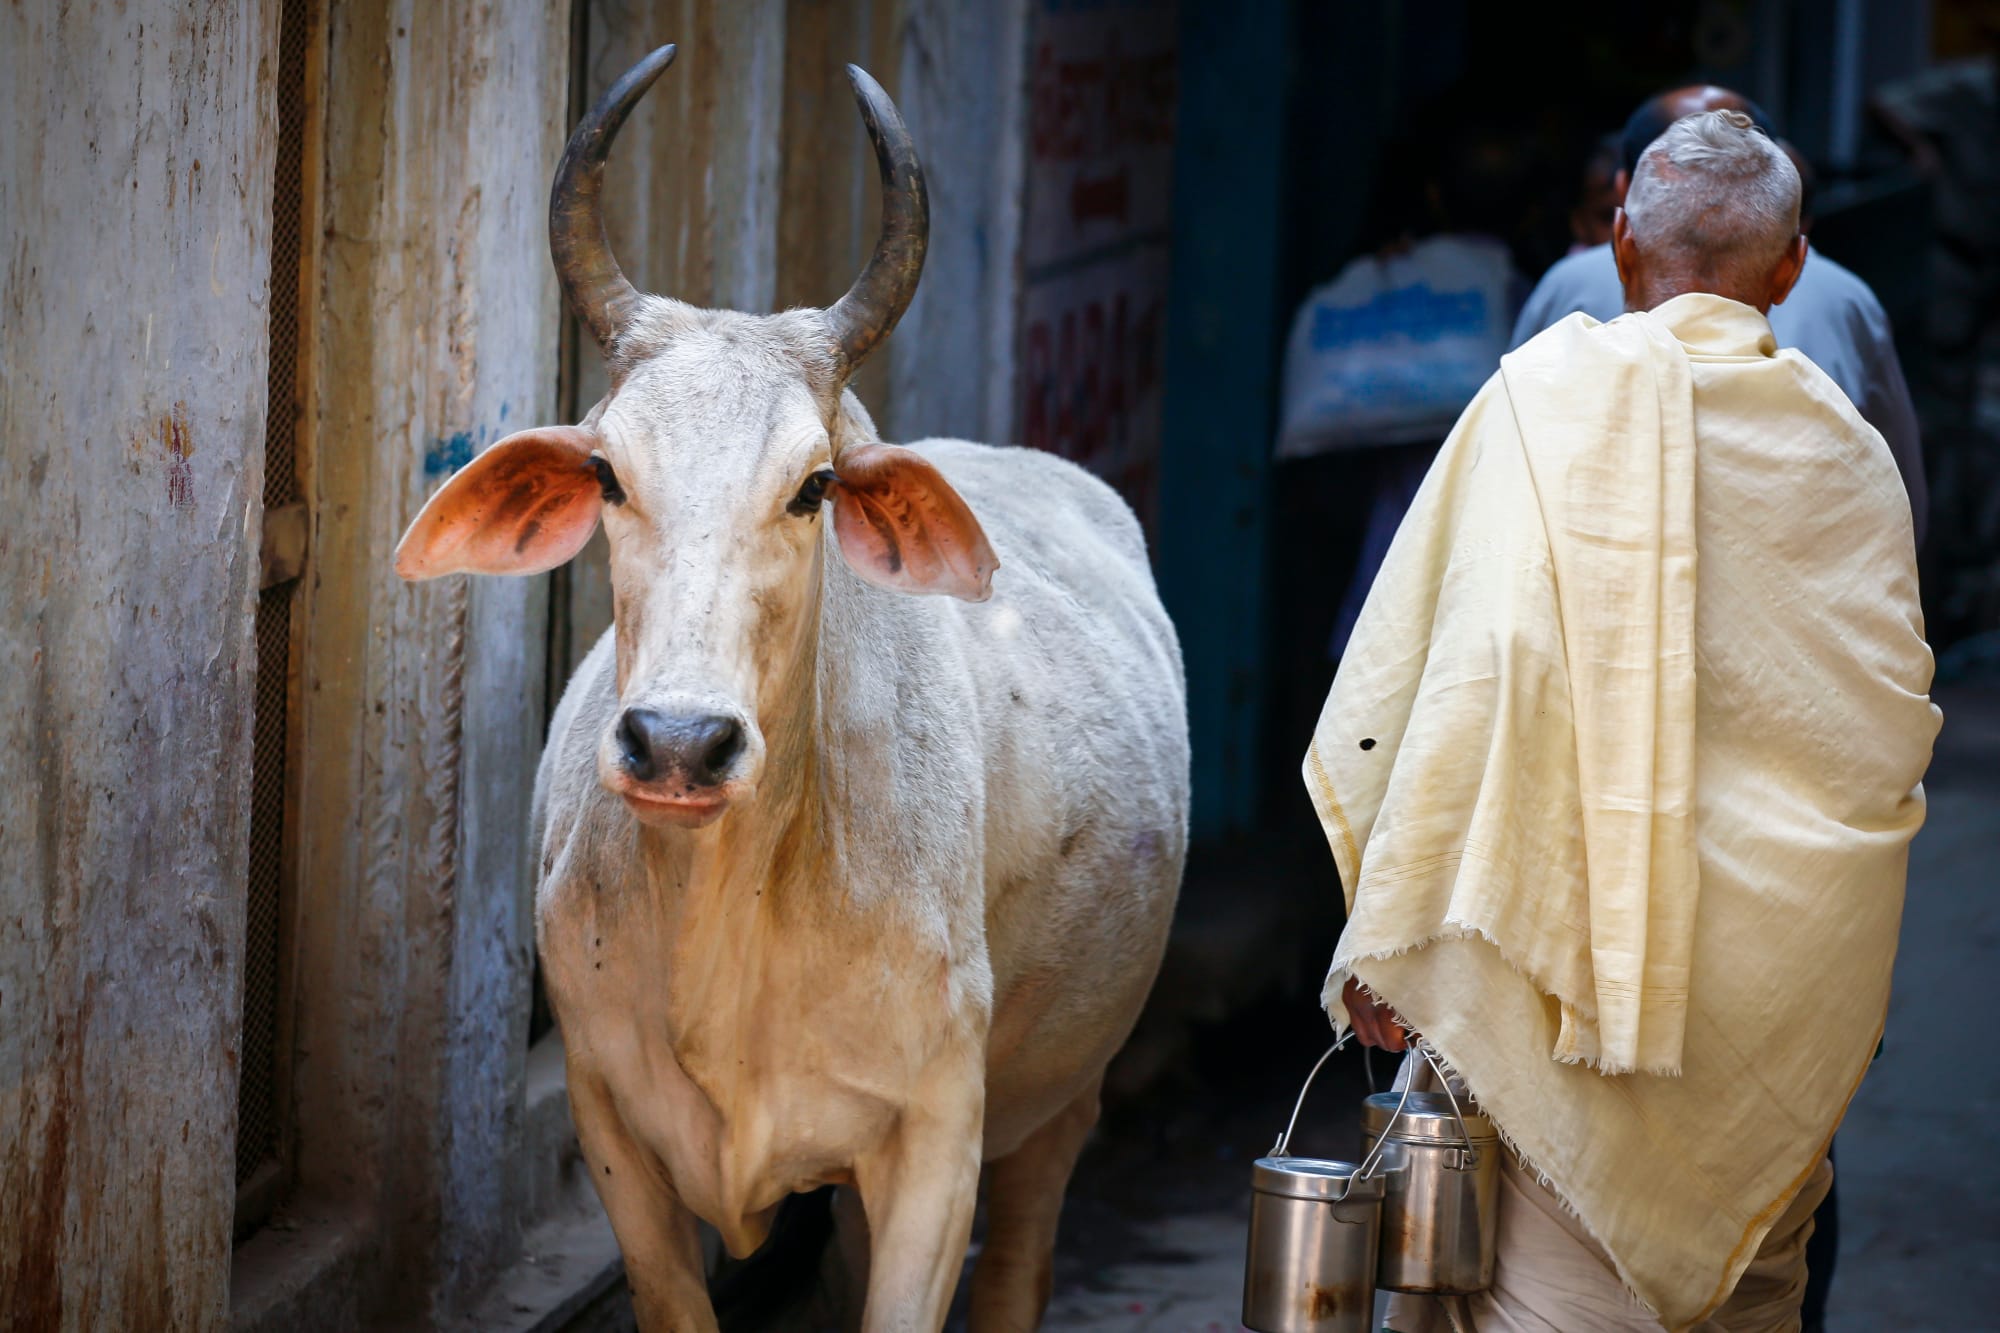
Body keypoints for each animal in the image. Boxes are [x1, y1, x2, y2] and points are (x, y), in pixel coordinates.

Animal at [393, 46, 1188, 1332]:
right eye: (606, 473)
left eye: (813, 486)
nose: (677, 742)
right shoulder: (611, 1130)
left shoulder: (936, 1141)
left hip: (1063, 1095)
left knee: (1022, 1257)